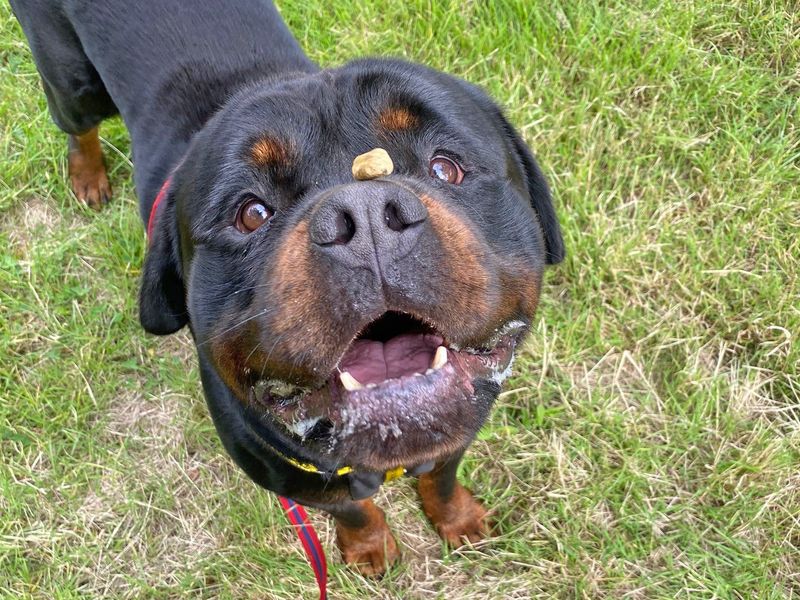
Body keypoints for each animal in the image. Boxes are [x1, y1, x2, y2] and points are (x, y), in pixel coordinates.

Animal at [12, 0, 564, 576]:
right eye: (251, 213)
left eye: (445, 167)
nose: (365, 215)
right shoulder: (294, 480)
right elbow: (352, 509)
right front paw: (369, 548)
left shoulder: (460, 429)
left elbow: (442, 475)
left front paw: (458, 519)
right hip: (72, 81)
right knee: (76, 122)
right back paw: (88, 174)